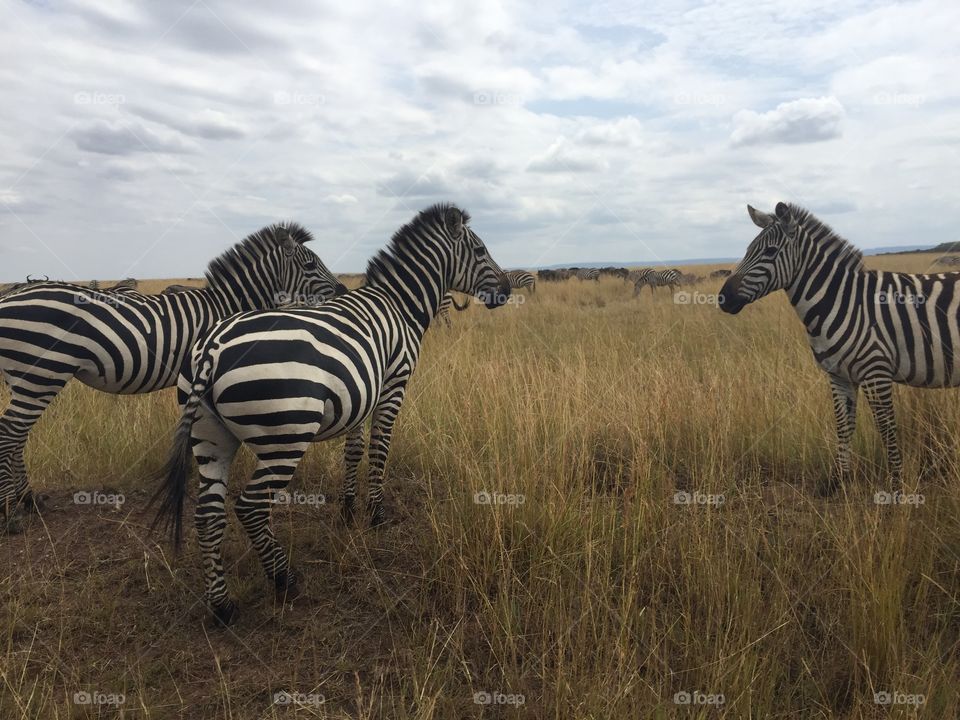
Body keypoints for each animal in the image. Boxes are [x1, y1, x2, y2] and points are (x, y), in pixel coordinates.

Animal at [0, 222, 345, 527]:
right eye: (311, 264)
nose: (343, 290)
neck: (222, 306)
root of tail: (10, 296)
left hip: (23, 378)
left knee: (17, 437)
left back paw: (29, 502)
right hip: (41, 373)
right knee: (10, 434)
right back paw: (12, 515)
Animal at [151, 203, 510, 624]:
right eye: (481, 249)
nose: (507, 290)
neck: (401, 306)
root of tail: (211, 347)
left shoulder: (360, 394)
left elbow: (353, 451)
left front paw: (348, 510)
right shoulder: (393, 385)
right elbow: (380, 448)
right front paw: (376, 514)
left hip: (209, 437)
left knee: (208, 514)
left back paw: (222, 606)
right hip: (285, 437)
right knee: (250, 506)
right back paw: (285, 579)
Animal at [718, 202, 958, 494]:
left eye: (770, 252)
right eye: (747, 250)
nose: (723, 298)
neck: (844, 301)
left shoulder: (875, 372)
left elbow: (887, 428)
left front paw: (896, 487)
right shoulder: (839, 375)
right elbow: (843, 425)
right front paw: (839, 482)